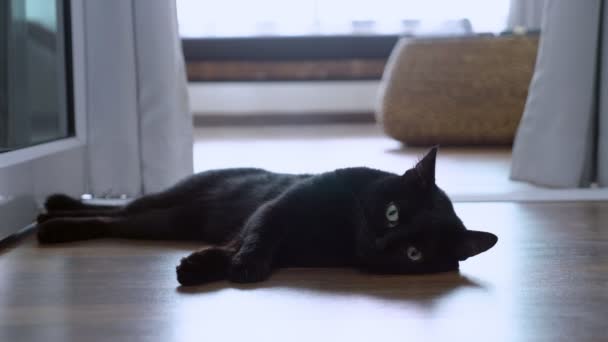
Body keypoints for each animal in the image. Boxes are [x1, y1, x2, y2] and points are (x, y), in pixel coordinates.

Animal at [35, 148, 496, 286]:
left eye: (415, 254)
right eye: (393, 212)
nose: (383, 244)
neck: (343, 232)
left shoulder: (287, 244)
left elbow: (234, 246)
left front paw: (202, 267)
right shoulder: (278, 208)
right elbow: (260, 234)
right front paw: (246, 265)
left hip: (172, 220)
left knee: (119, 216)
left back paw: (50, 216)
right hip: (166, 211)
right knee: (117, 213)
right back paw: (55, 218)